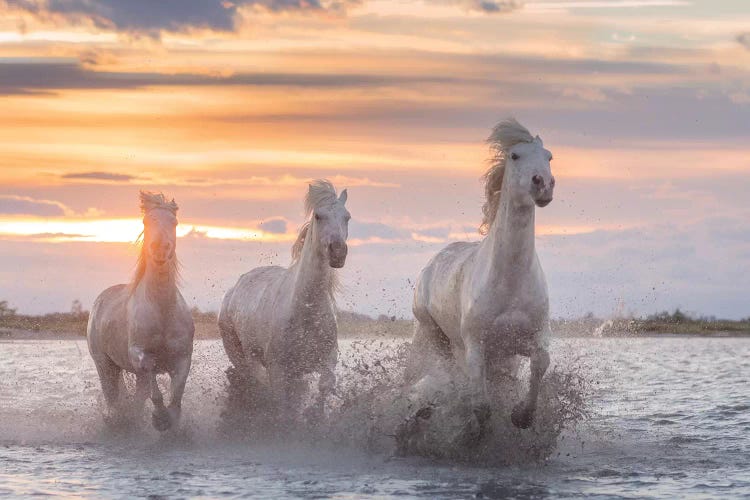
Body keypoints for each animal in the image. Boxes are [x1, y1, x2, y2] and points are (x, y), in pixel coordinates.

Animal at [86, 191, 195, 430]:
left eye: (174, 222)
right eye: (146, 221)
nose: (160, 248)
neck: (162, 310)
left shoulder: (183, 357)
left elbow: (176, 397)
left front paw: (169, 420)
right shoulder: (139, 354)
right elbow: (150, 375)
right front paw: (159, 418)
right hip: (104, 364)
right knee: (112, 396)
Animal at [220, 182, 352, 416]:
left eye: (347, 217)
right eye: (318, 216)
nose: (337, 252)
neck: (307, 311)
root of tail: (233, 290)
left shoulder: (327, 360)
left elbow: (324, 386)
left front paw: (315, 416)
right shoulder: (279, 369)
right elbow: (283, 405)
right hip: (242, 358)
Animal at [408, 118, 556, 430]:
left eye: (549, 156)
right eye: (515, 156)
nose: (543, 184)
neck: (510, 282)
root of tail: (431, 264)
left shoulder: (530, 339)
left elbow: (541, 363)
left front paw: (522, 415)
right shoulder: (476, 347)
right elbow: (482, 404)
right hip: (433, 334)